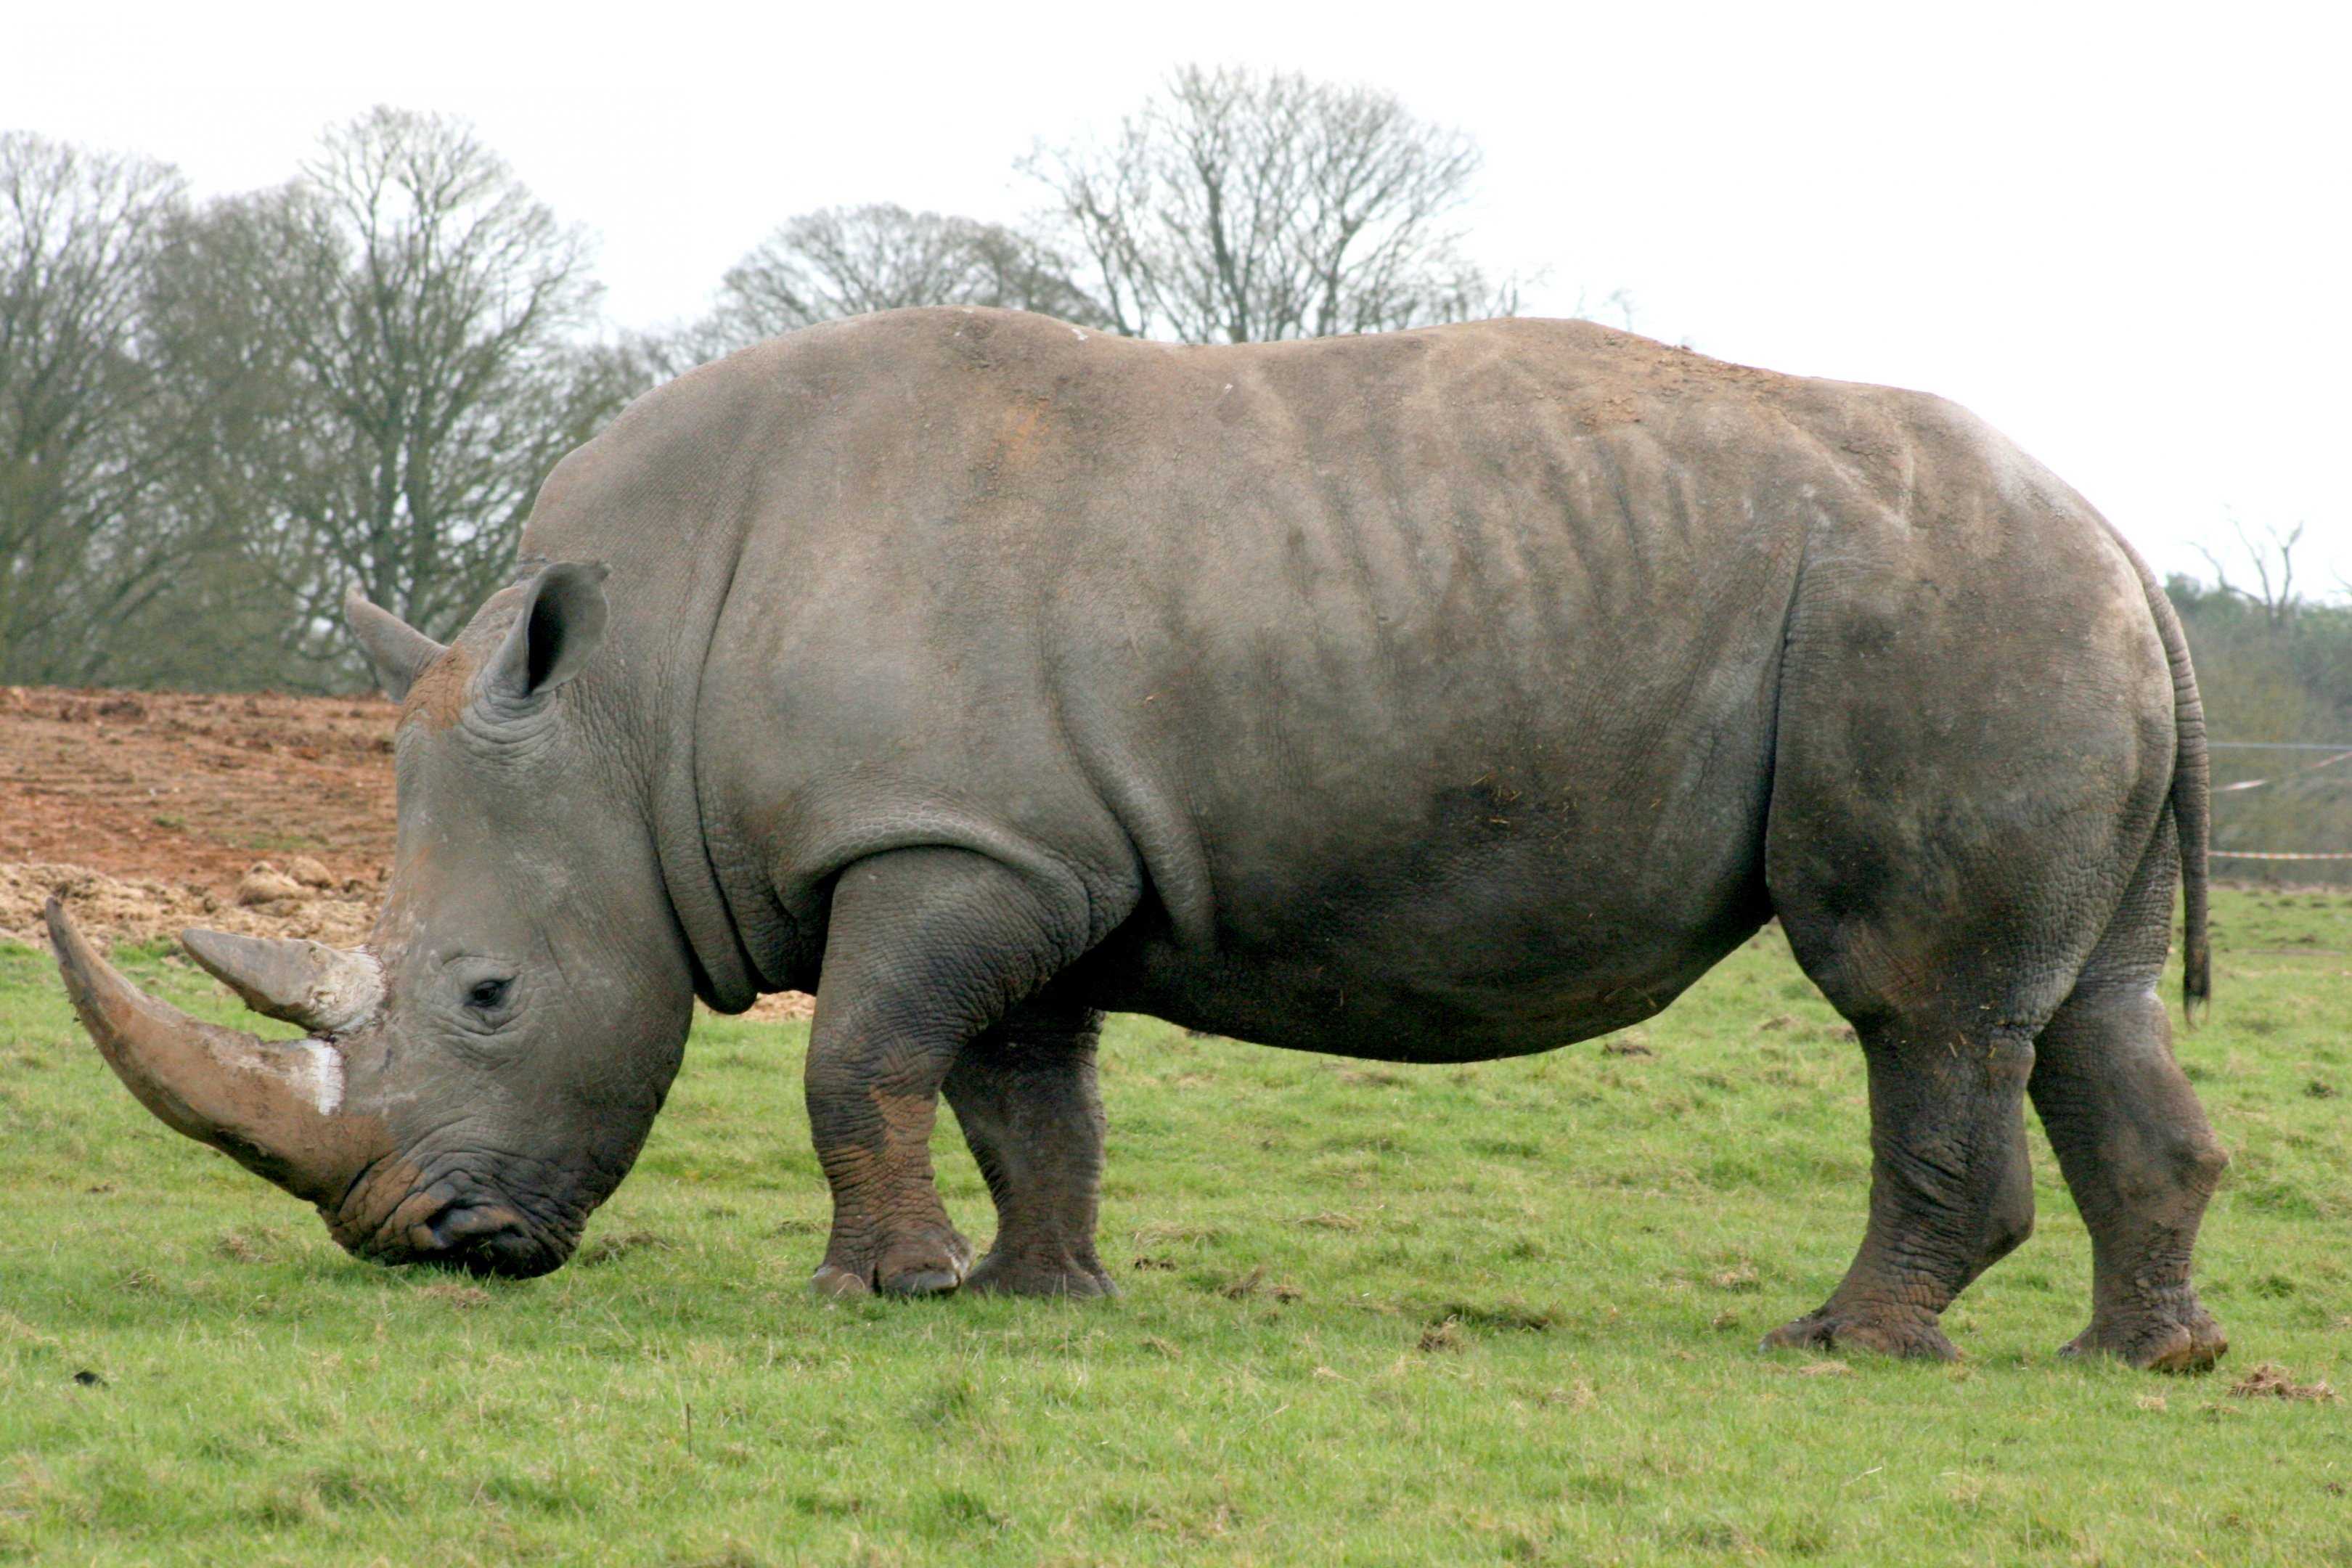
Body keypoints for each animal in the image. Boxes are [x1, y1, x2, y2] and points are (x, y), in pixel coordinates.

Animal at [49, 308, 2228, 1369]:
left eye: (490, 994)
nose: (423, 1245)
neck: (624, 705)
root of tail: (2133, 544)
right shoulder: (1023, 856)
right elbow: (1021, 1094)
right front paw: (1038, 1303)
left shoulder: (940, 845)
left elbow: (860, 1060)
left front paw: (875, 1299)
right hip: (2039, 630)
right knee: (2084, 1003)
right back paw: (2143, 1363)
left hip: (1947, 623)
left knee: (1915, 1000)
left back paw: (1844, 1347)